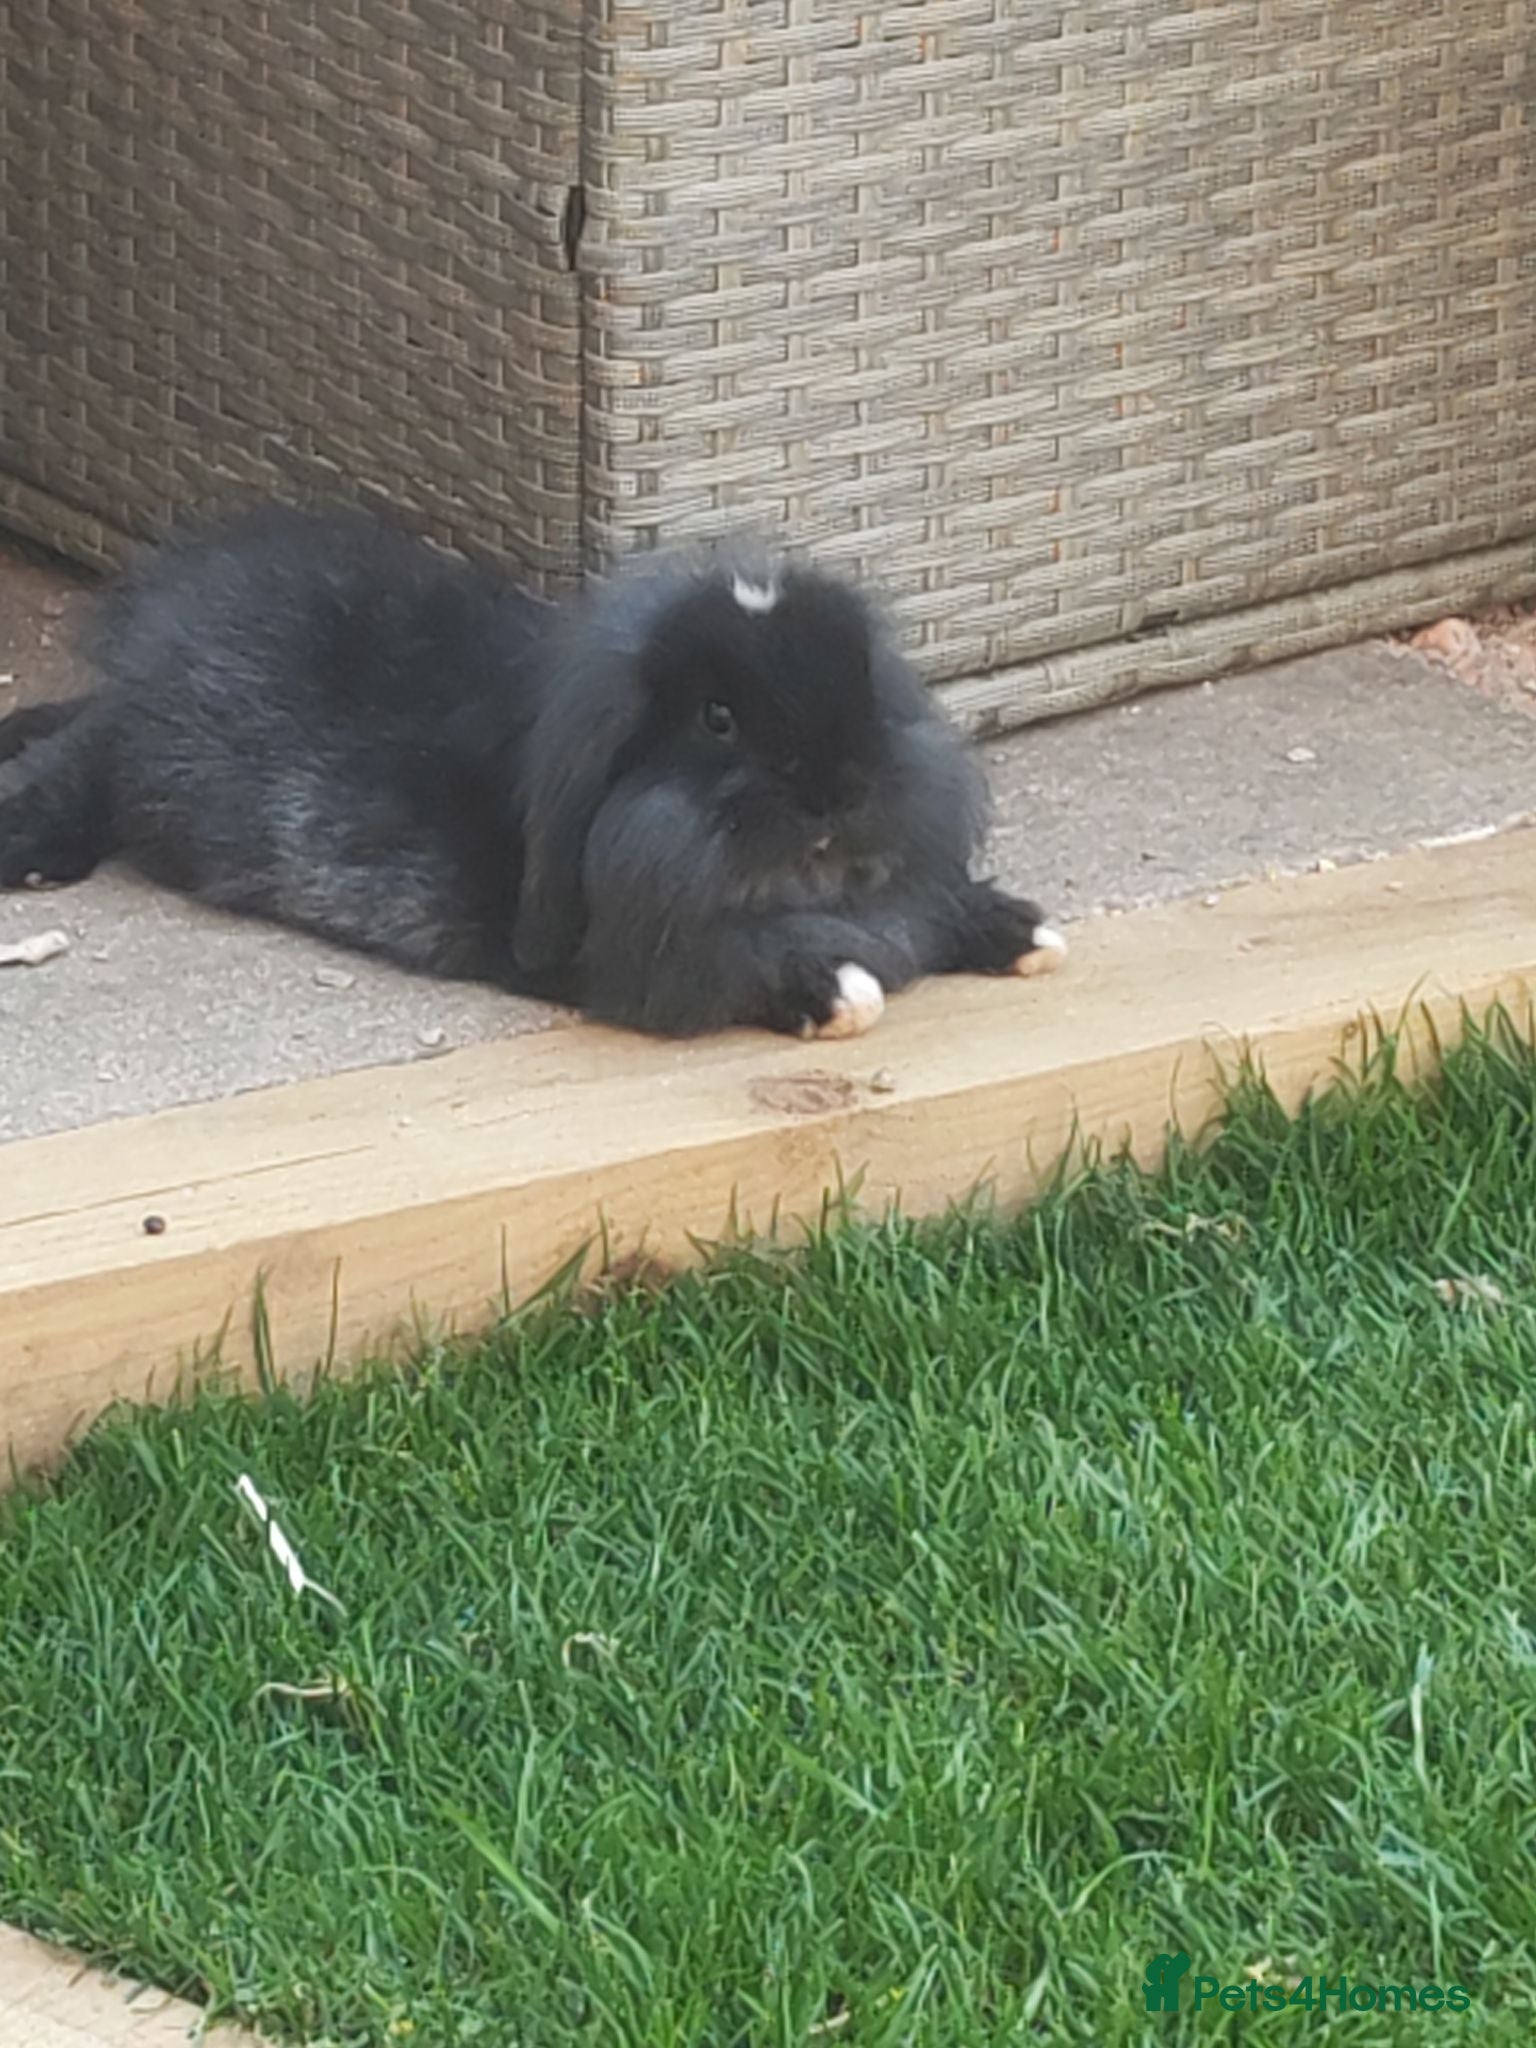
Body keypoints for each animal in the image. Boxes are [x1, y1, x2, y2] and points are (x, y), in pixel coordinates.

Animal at [0, 503, 1067, 1039]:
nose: (838, 794)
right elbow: (749, 963)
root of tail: (155, 623)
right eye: (718, 718)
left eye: (862, 681)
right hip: (148, 766)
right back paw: (33, 850)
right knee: (82, 763)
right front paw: (840, 991)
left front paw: (1027, 931)